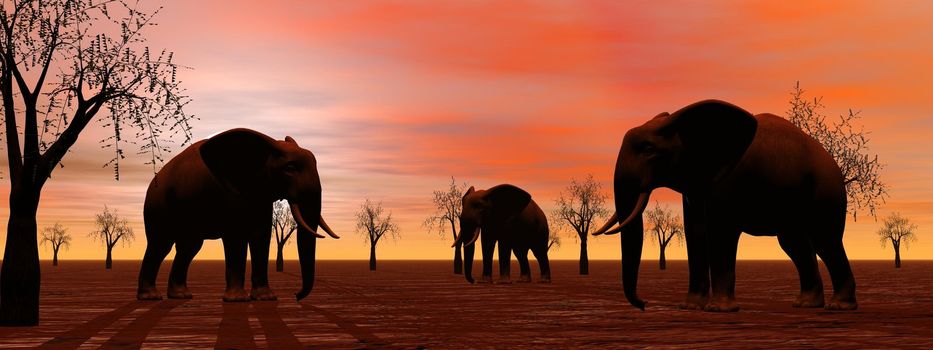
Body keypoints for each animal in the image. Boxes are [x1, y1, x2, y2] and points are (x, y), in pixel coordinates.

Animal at [137, 127, 340, 302]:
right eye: (290, 168)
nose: (296, 296)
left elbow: (261, 236)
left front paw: (266, 298)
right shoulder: (229, 194)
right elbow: (236, 237)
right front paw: (237, 300)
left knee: (189, 247)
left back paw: (180, 296)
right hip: (158, 206)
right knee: (160, 245)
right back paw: (150, 297)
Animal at [592, 99, 856, 312]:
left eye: (648, 149)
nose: (644, 304)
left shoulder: (728, 182)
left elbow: (720, 232)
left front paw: (717, 310)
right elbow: (696, 232)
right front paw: (690, 308)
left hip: (826, 191)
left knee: (825, 241)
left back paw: (839, 307)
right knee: (795, 244)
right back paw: (806, 304)